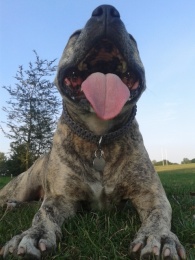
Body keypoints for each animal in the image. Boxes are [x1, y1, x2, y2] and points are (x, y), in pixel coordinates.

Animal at [0, 4, 186, 260]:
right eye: (75, 34)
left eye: (132, 38)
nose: (107, 10)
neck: (99, 136)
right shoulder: (60, 198)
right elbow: (43, 214)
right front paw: (33, 234)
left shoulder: (151, 194)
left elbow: (159, 214)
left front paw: (157, 237)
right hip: (20, 185)